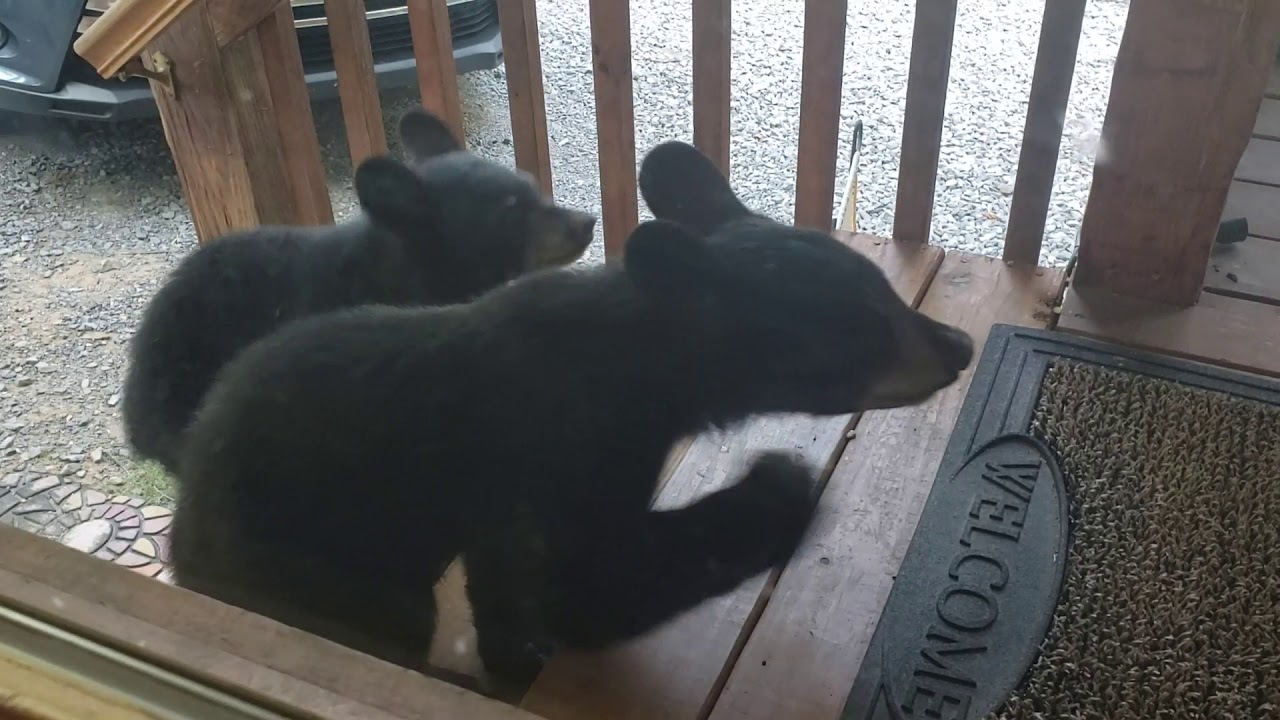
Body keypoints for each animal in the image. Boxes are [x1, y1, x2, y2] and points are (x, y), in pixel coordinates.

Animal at [167, 139, 975, 690]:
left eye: (884, 292)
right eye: (862, 325)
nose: (961, 345)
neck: (633, 369)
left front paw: (512, 656)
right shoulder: (556, 447)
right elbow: (588, 582)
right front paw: (779, 484)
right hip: (294, 558)